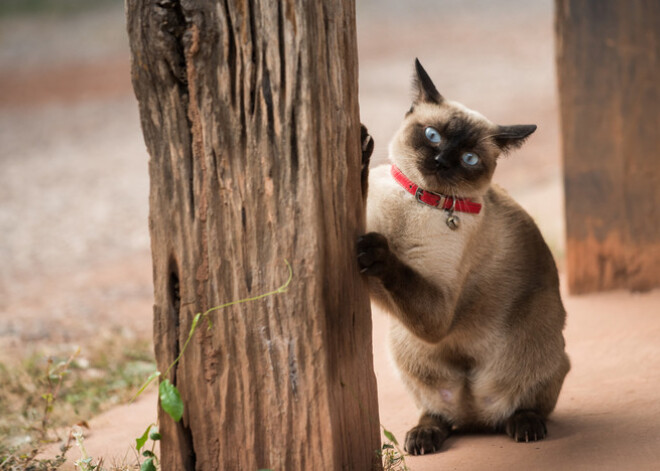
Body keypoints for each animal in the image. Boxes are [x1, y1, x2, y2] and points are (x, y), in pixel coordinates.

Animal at [358, 60, 568, 458]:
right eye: (432, 136)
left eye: (469, 158)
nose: (441, 161)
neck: (418, 200)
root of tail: (475, 416)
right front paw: (360, 151)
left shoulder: (435, 313)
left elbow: (397, 270)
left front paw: (377, 251)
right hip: (403, 345)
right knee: (438, 413)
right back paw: (424, 435)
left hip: (541, 325)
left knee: (523, 405)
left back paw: (524, 424)